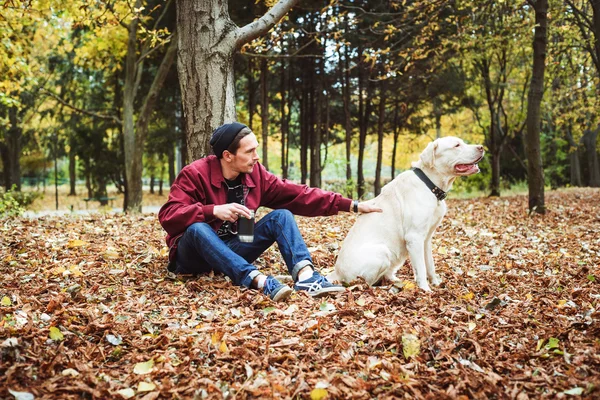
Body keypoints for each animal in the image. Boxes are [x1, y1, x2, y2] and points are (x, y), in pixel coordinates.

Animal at [330, 137, 486, 290]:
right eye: (457, 145)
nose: (481, 147)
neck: (429, 185)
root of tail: (336, 273)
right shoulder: (414, 237)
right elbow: (421, 268)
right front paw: (425, 290)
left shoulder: (426, 239)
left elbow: (430, 265)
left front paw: (436, 284)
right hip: (382, 252)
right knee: (365, 283)